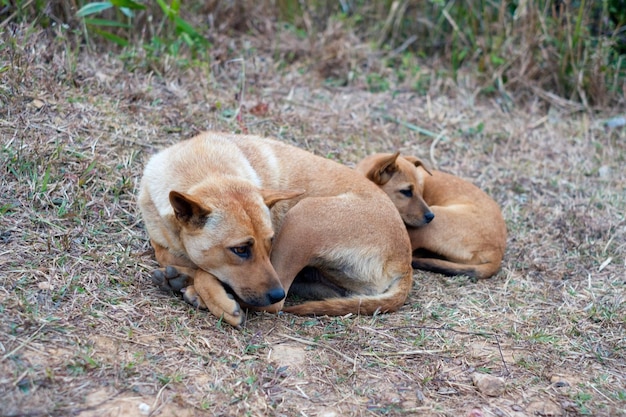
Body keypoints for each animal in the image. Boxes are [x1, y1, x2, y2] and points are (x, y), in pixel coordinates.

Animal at [138, 132, 412, 326]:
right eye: (240, 249)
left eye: (270, 242)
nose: (276, 293)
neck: (206, 169)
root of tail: (405, 262)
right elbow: (167, 254)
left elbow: (205, 271)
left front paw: (212, 294)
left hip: (302, 217)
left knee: (272, 304)